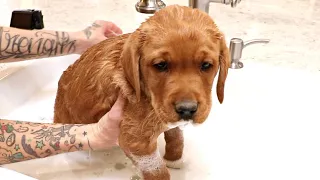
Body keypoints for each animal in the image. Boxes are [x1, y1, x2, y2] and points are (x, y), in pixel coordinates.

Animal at [54, 4, 230, 180]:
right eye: (160, 65)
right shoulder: (136, 140)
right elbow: (158, 170)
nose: (187, 109)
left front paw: (174, 159)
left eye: (206, 65)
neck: (147, 94)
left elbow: (176, 136)